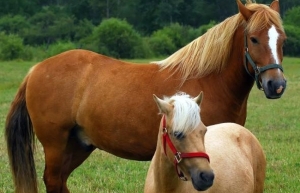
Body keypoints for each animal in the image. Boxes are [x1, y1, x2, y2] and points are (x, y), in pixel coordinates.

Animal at [5, 0, 284, 192]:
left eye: (282, 39)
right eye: (254, 39)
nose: (276, 85)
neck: (210, 80)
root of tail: (36, 69)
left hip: (78, 144)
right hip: (55, 144)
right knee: (53, 180)